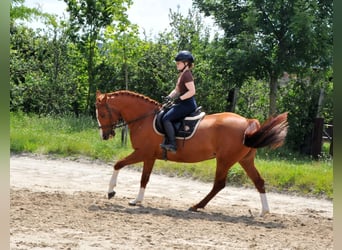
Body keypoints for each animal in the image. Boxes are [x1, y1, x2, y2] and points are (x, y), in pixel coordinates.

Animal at [94, 90, 288, 215]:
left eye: (102, 114)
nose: (104, 135)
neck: (145, 119)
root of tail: (248, 122)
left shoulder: (142, 153)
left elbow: (118, 164)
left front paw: (111, 191)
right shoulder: (150, 156)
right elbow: (144, 178)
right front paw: (137, 200)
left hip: (225, 160)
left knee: (219, 184)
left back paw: (196, 206)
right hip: (245, 160)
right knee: (259, 182)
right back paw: (264, 211)